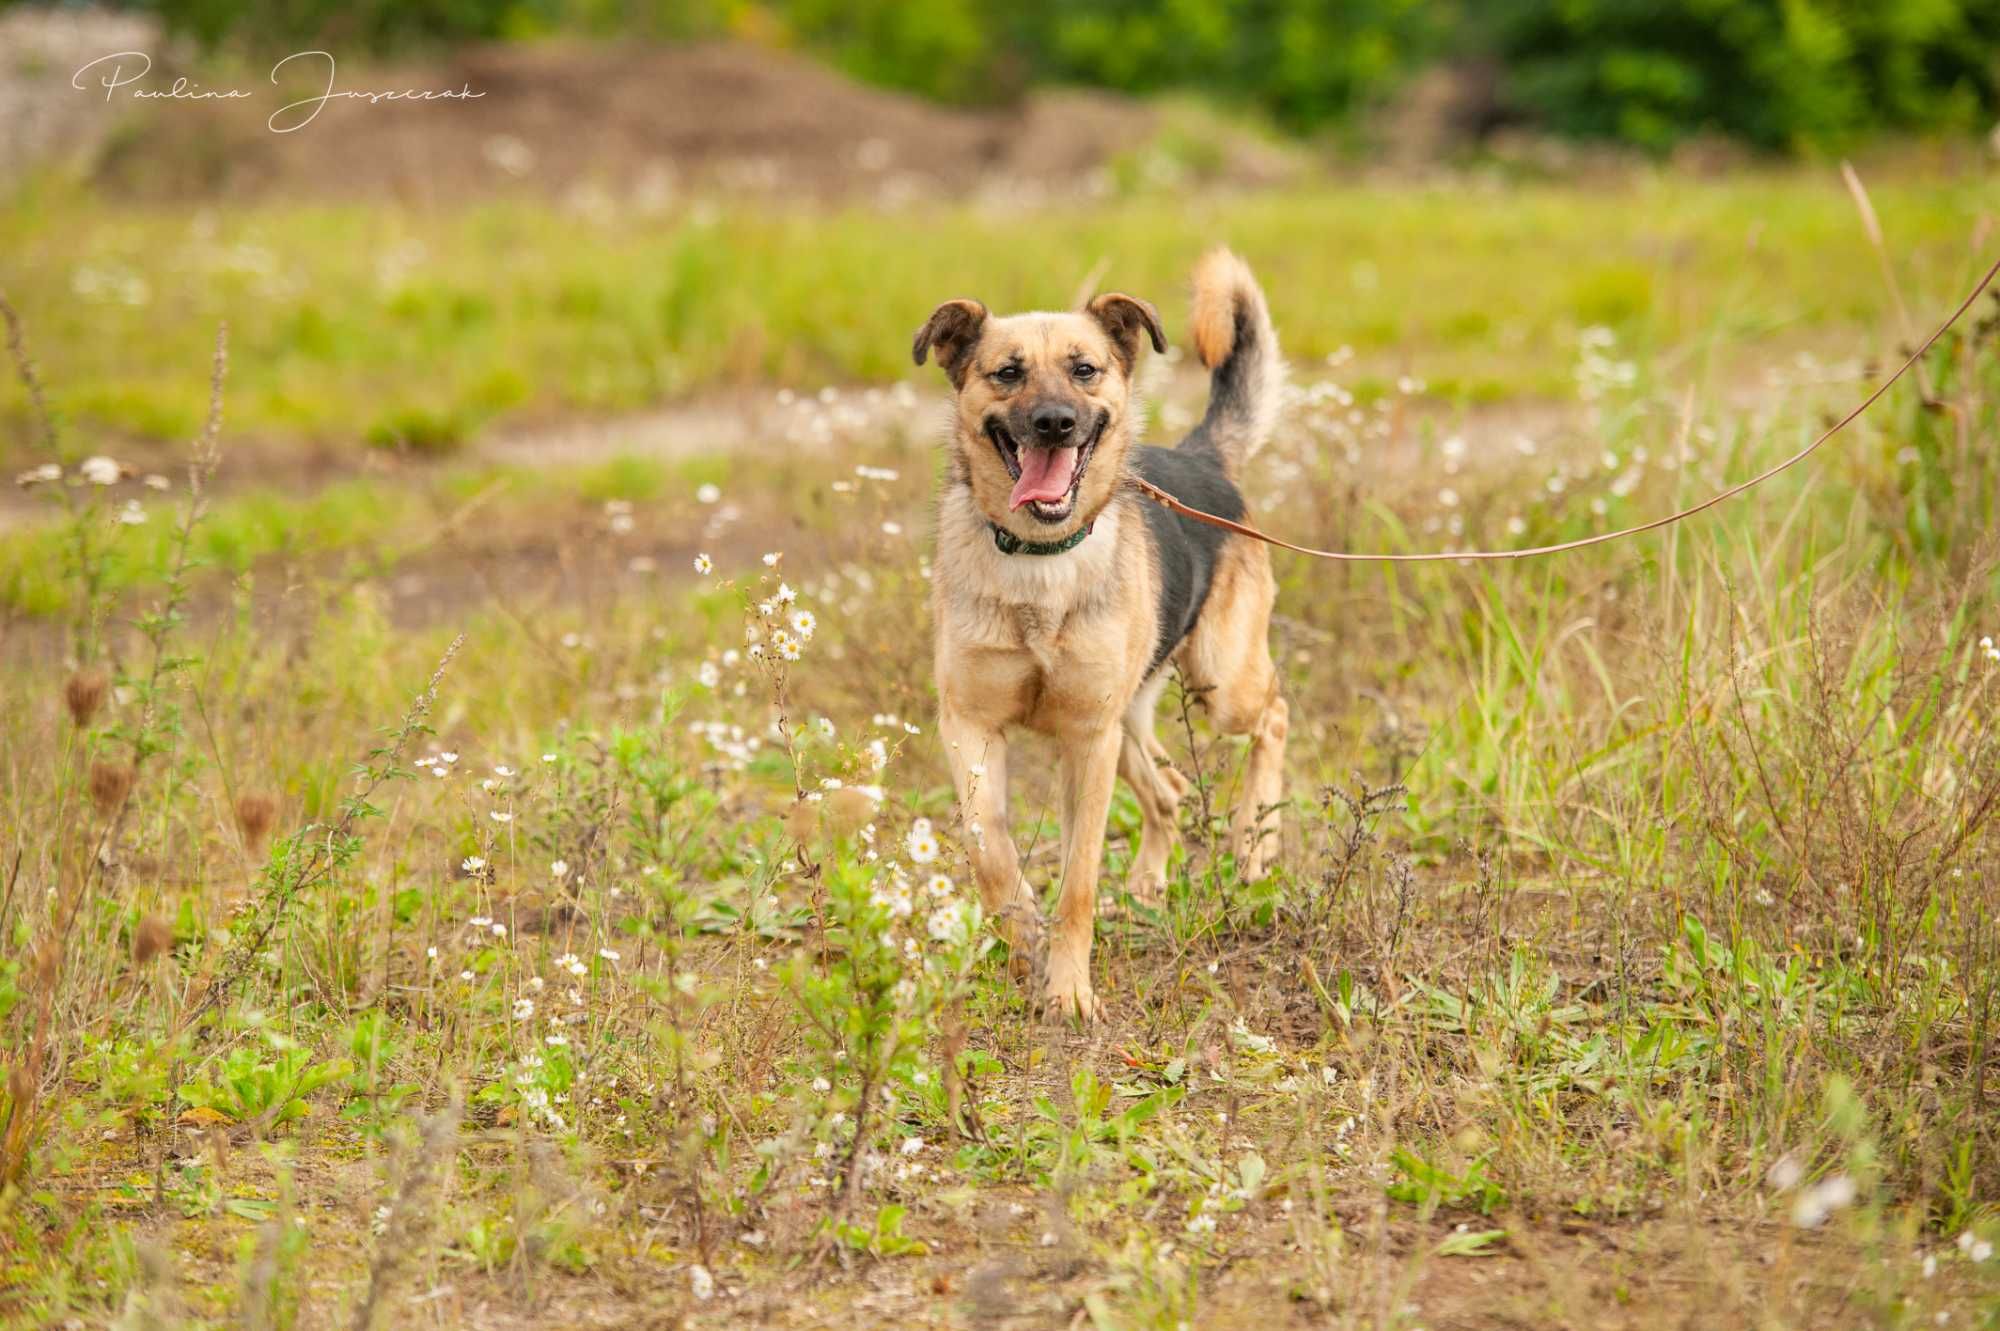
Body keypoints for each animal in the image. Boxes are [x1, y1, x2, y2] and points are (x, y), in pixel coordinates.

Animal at [916, 248, 1288, 1015]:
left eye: (1084, 369)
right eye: (1008, 372)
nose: (1055, 423)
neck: (1037, 559)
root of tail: (1202, 458)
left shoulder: (1087, 739)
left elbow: (1079, 878)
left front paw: (1068, 990)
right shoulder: (971, 725)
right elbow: (988, 850)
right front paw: (1021, 933)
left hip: (1216, 680)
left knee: (1274, 714)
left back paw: (1251, 840)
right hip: (1132, 717)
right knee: (1171, 788)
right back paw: (1148, 883)